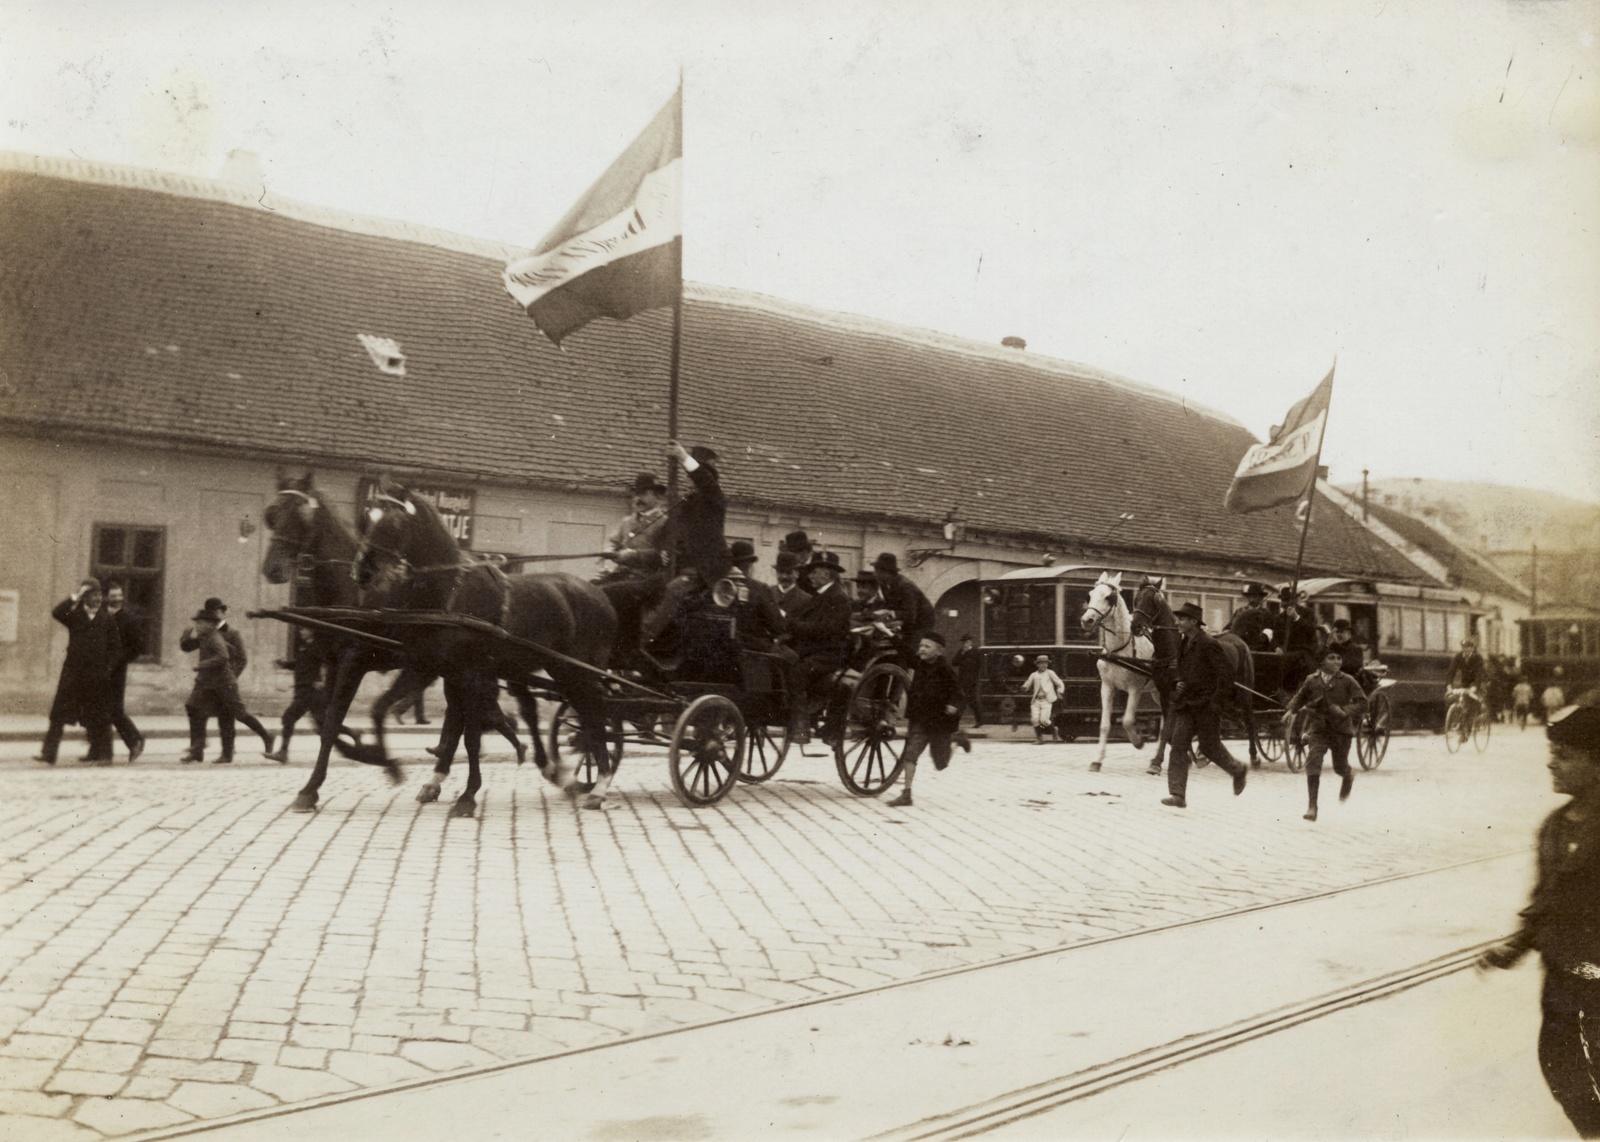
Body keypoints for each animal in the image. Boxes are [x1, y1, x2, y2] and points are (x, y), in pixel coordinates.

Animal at [356, 486, 617, 812]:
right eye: (368, 517)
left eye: (395, 523)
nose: (363, 571)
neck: (451, 592)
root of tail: (600, 595)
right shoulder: (432, 668)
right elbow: (386, 710)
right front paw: (395, 767)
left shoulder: (469, 675)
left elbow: (470, 736)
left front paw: (468, 795)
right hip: (558, 670)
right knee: (575, 713)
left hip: (578, 672)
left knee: (595, 715)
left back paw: (600, 783)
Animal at [1081, 572, 1158, 770]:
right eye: (1090, 595)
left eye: (1109, 597)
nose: (1086, 620)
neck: (1119, 650)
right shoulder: (1107, 687)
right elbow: (1104, 725)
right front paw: (1097, 760)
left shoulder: (1135, 689)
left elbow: (1127, 720)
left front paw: (1138, 741)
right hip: (1157, 693)